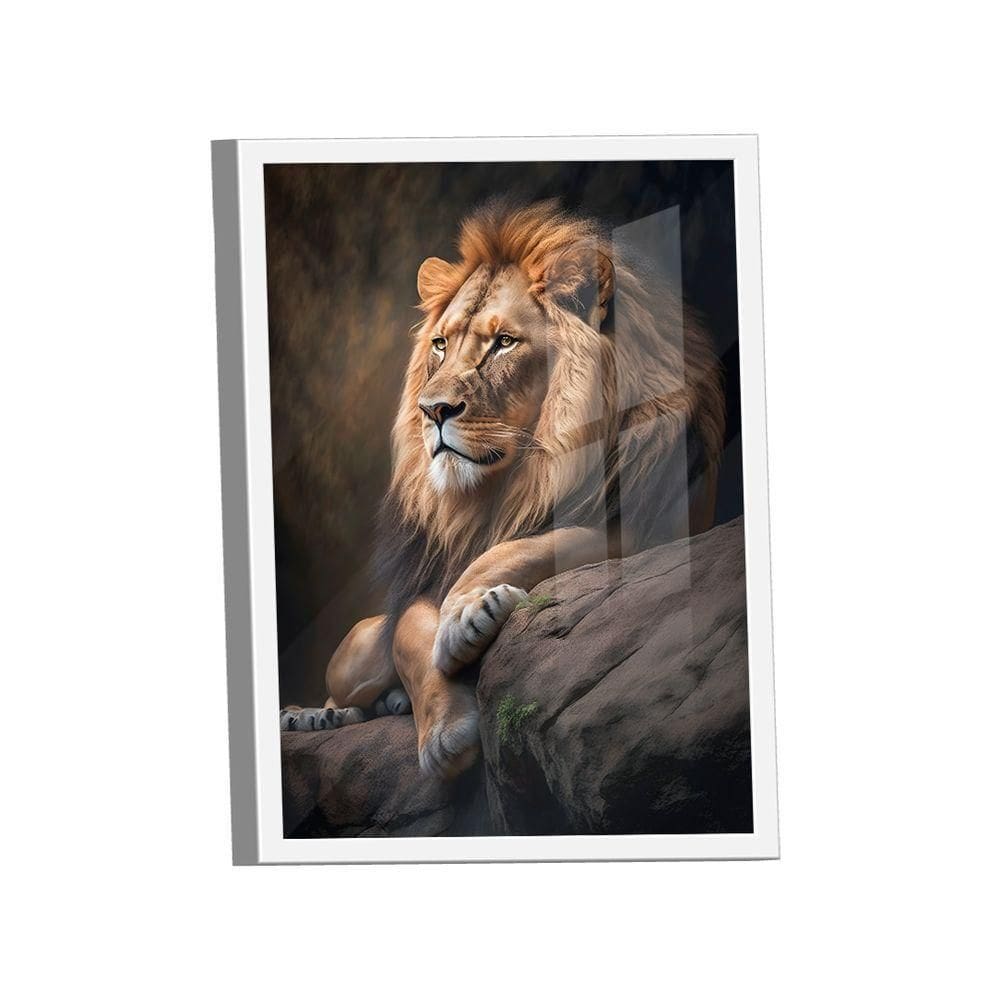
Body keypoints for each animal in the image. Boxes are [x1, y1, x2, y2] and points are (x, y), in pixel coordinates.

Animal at [281, 198, 726, 778]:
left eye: (504, 343)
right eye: (441, 344)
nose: (432, 410)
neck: (507, 488)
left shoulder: (660, 529)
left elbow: (541, 544)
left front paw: (468, 613)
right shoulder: (420, 585)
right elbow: (410, 632)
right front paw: (445, 732)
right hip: (357, 652)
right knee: (351, 681)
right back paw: (315, 716)